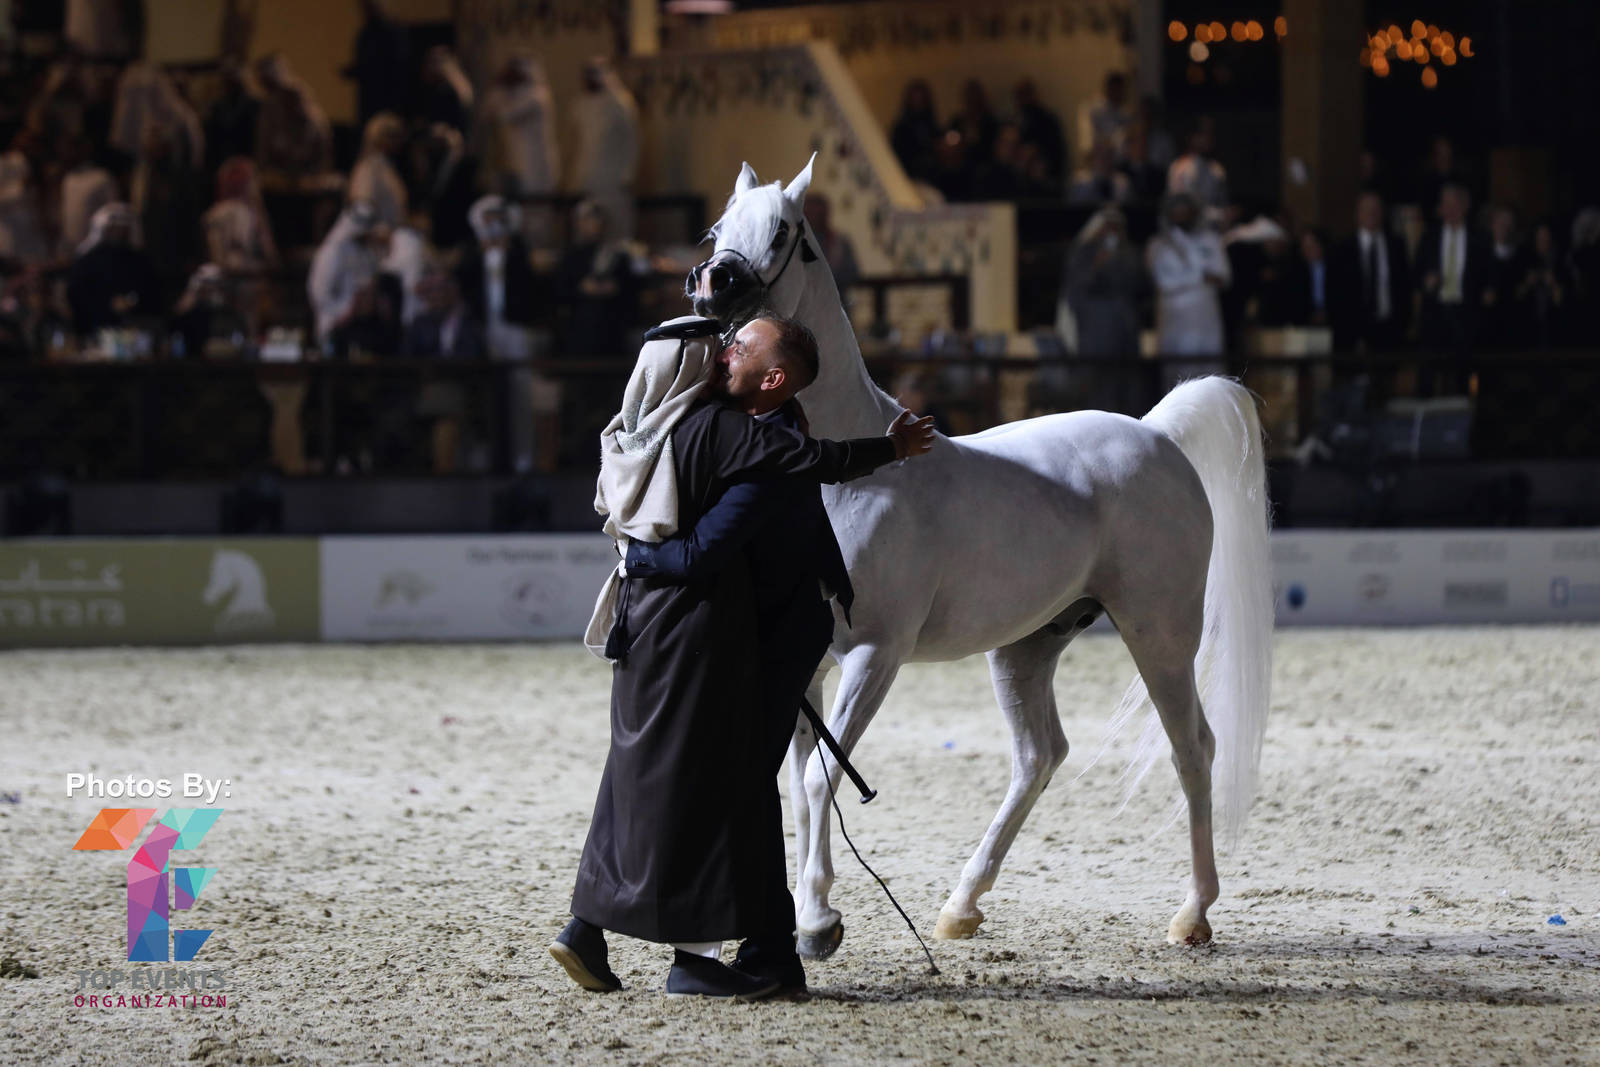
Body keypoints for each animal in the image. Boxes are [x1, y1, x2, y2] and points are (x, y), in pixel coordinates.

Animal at [686, 155, 1274, 958]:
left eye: (785, 233)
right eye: (718, 227)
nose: (714, 283)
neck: (844, 475)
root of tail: (1155, 432)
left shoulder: (874, 654)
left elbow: (816, 782)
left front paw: (816, 922)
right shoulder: (803, 659)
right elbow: (798, 780)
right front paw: (797, 916)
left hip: (1159, 634)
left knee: (1194, 749)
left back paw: (1193, 914)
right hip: (1026, 648)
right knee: (1039, 756)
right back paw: (962, 904)